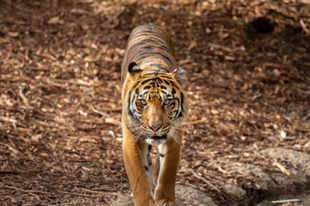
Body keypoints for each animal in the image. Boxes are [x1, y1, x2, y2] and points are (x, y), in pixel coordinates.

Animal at [121, 24, 189, 206]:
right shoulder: (130, 138)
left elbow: (168, 169)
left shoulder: (174, 134)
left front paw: (166, 199)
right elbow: (138, 176)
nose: (155, 127)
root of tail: (148, 24)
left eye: (167, 102)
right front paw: (146, 201)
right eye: (143, 102)